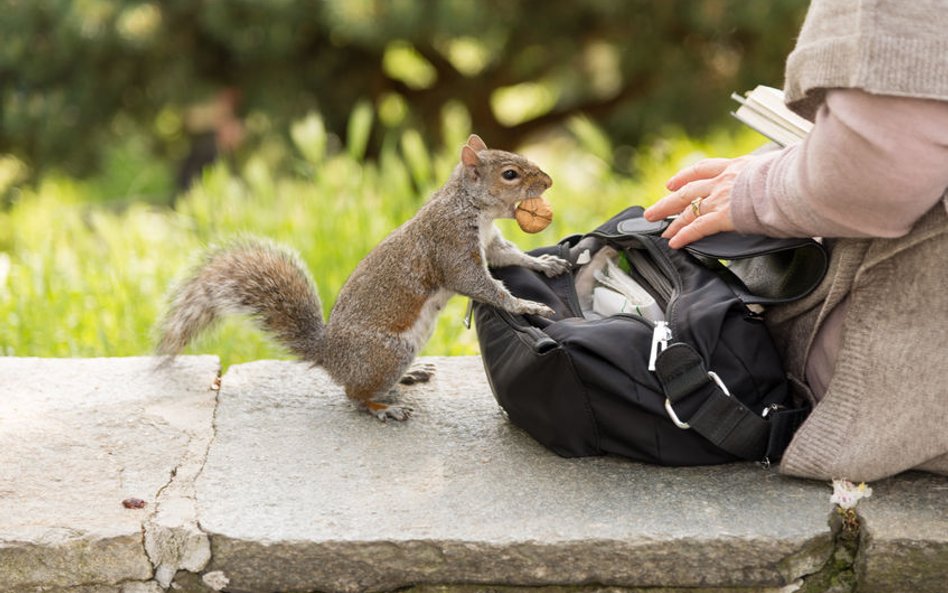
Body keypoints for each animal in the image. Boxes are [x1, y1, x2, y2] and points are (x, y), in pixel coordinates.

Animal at [157, 136, 572, 418]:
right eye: (510, 174)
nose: (550, 181)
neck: (471, 207)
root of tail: (329, 356)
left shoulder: (492, 244)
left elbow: (511, 256)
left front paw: (548, 264)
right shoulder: (451, 248)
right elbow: (482, 285)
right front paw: (525, 304)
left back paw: (410, 376)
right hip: (387, 352)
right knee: (353, 395)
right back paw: (383, 407)